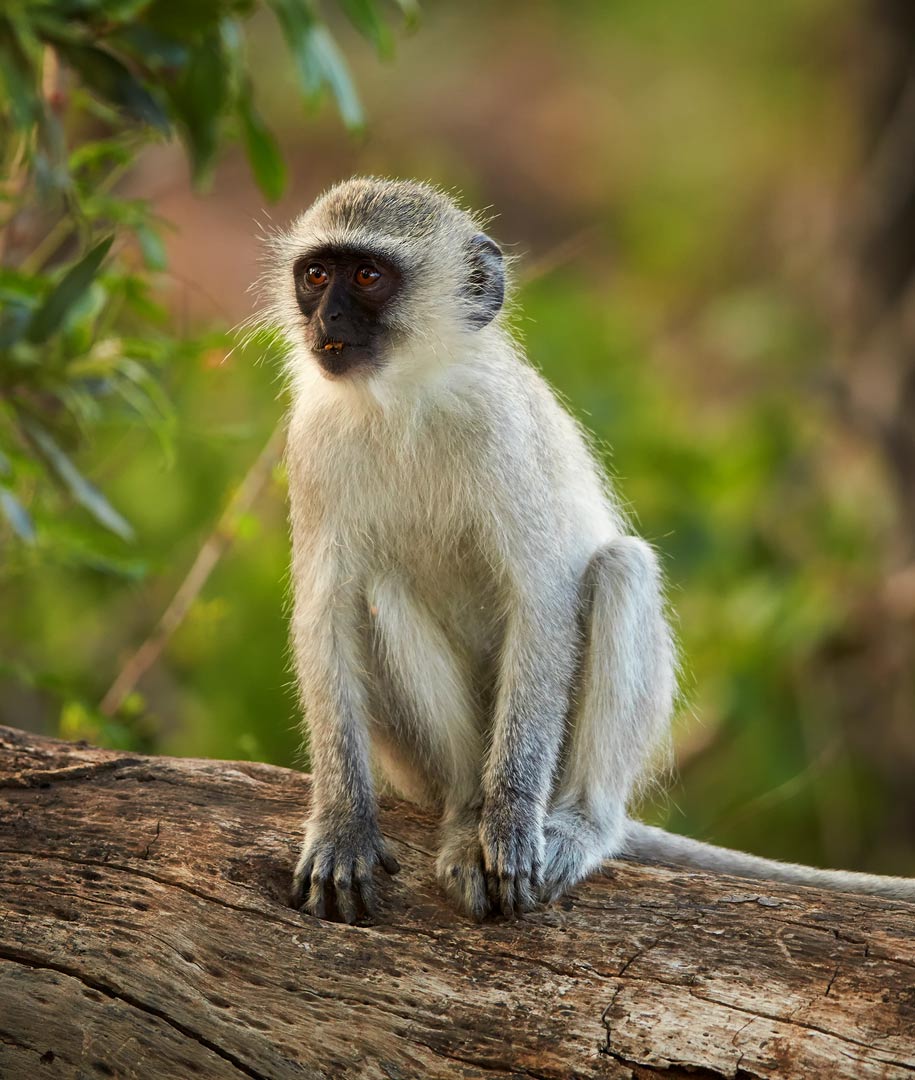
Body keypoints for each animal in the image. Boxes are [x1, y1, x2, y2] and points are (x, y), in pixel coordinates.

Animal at [256, 176, 915, 923]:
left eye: (367, 276)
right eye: (316, 276)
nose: (326, 320)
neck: (405, 400)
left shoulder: (502, 430)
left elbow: (542, 599)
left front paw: (511, 820)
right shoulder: (312, 441)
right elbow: (326, 613)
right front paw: (343, 824)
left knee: (619, 570)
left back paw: (576, 821)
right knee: (381, 592)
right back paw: (466, 811)